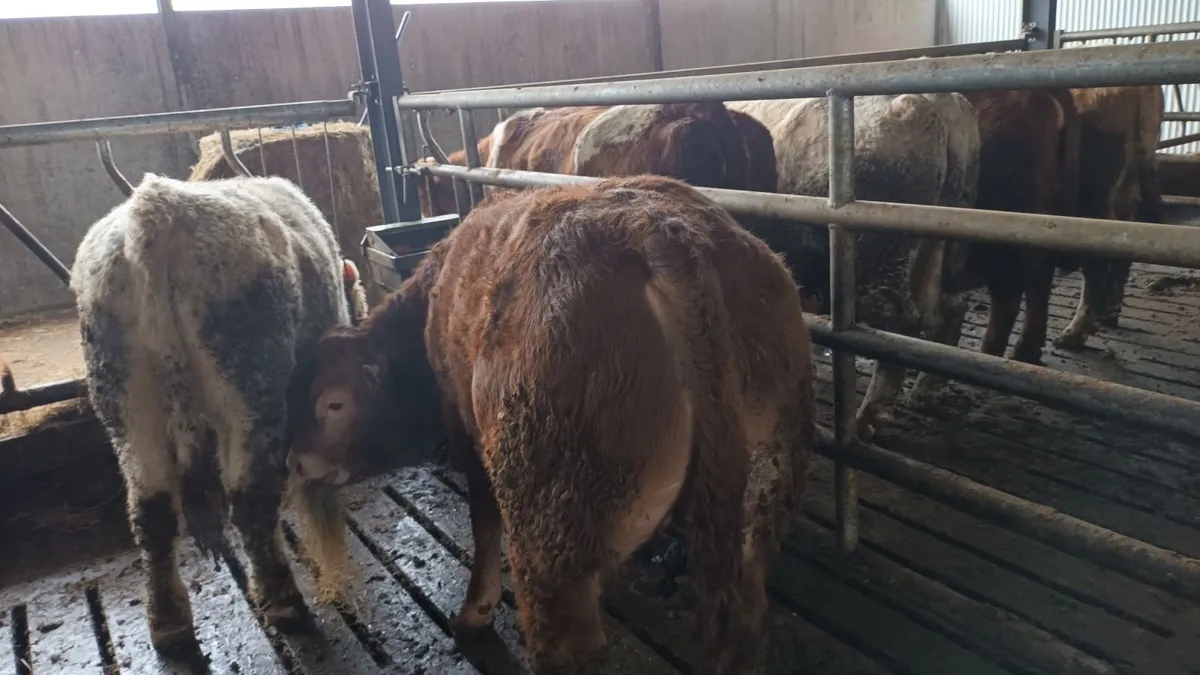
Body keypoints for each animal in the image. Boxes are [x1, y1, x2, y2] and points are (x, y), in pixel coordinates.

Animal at [70, 174, 356, 655]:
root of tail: (155, 210)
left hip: (126, 402)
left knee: (151, 510)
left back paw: (168, 623)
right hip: (249, 384)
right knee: (249, 499)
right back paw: (284, 602)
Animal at [285, 176, 816, 675]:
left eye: (333, 404)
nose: (296, 460)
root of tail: (655, 230)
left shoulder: (464, 426)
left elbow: (483, 522)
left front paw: (474, 612)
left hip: (544, 505)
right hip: (762, 484)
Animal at [728, 94, 981, 438]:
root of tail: (931, 103)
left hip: (878, 264)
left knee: (900, 325)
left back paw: (866, 418)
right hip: (942, 248)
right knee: (949, 308)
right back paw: (925, 390)